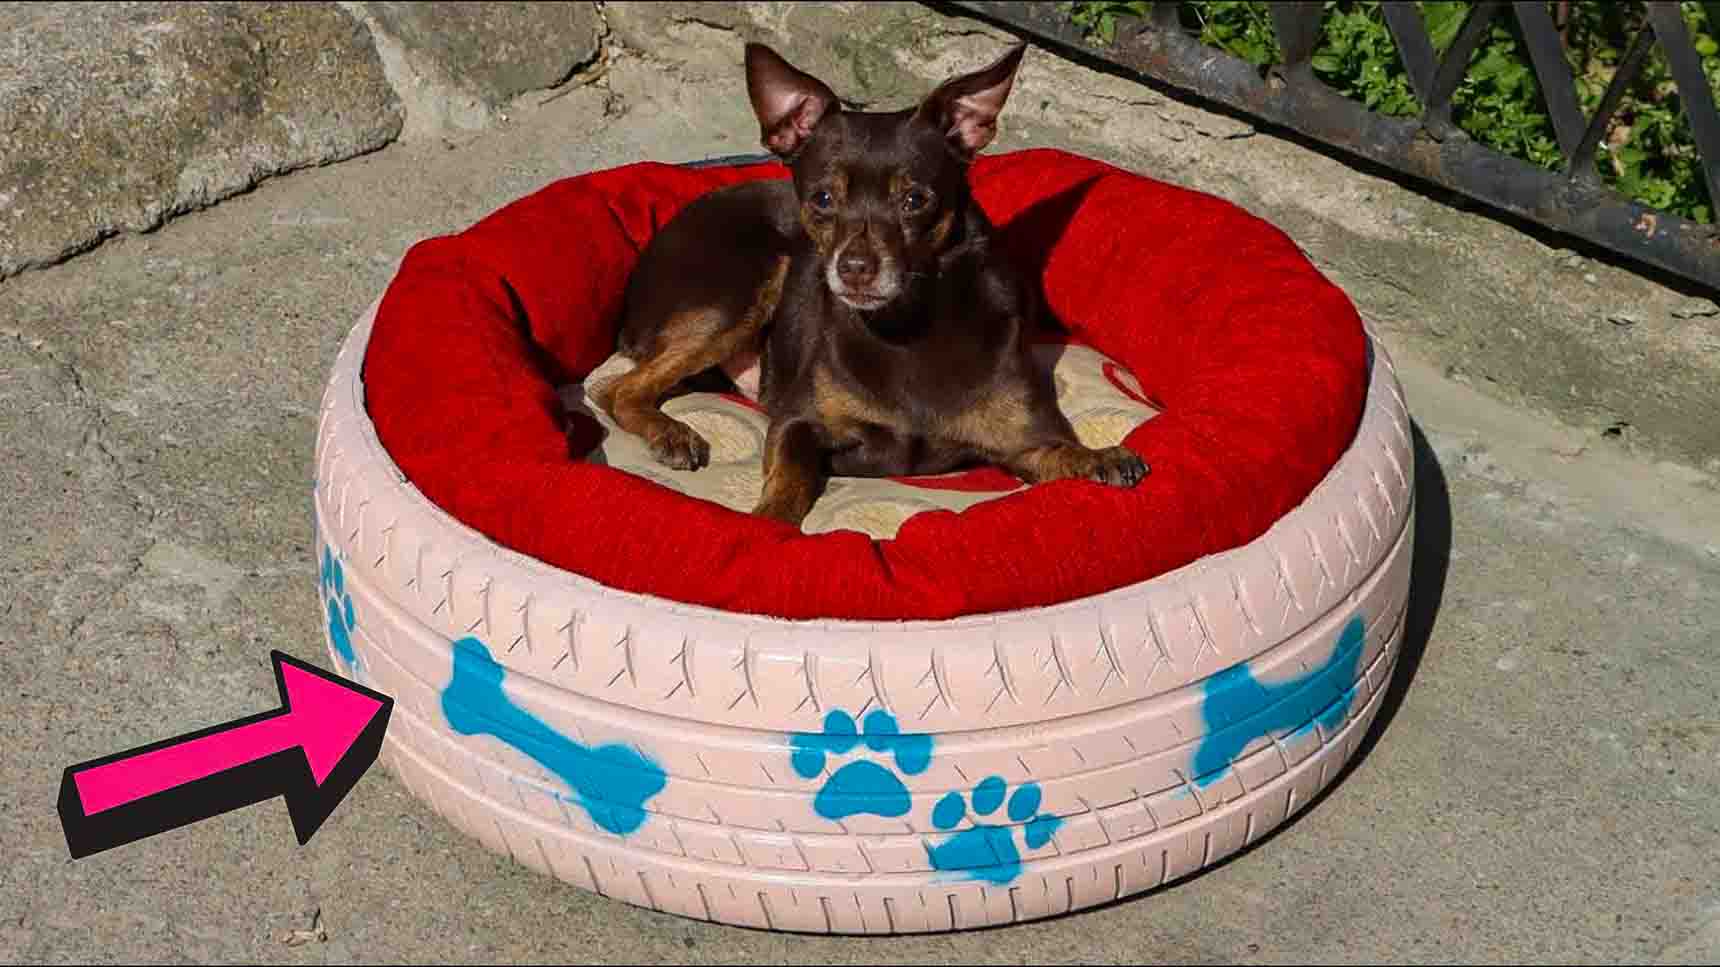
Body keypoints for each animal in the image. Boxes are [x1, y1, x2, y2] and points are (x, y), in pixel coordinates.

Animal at [598, 43, 1148, 526]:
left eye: (915, 200)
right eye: (822, 198)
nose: (855, 267)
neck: (906, 325)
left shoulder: (1023, 443)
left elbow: (1062, 452)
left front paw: (1101, 458)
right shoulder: (796, 424)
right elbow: (791, 478)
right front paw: (767, 524)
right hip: (739, 295)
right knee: (616, 390)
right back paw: (671, 433)